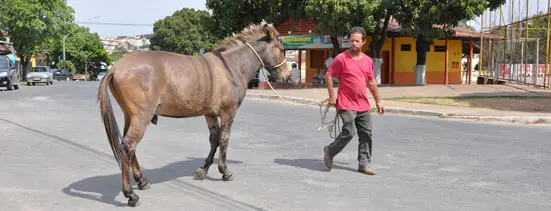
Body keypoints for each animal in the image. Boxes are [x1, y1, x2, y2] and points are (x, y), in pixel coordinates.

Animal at [96, 23, 288, 206]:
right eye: (281, 48)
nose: (287, 77)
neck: (230, 66)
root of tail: (116, 67)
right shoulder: (228, 112)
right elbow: (224, 139)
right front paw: (224, 170)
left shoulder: (210, 114)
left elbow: (214, 139)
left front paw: (204, 169)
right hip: (142, 117)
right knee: (128, 146)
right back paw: (130, 194)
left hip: (131, 116)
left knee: (129, 147)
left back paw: (142, 181)